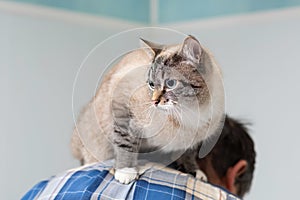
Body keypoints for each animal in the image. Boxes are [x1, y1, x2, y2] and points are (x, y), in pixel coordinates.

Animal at [71, 35, 224, 184]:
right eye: (151, 84)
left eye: (171, 83)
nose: (154, 101)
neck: (190, 114)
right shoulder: (122, 103)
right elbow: (125, 143)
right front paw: (126, 171)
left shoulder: (190, 141)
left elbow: (187, 155)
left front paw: (193, 172)